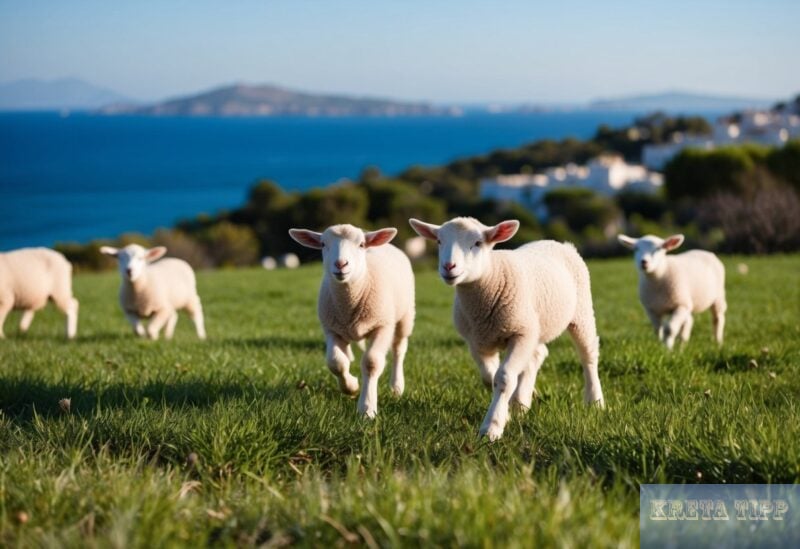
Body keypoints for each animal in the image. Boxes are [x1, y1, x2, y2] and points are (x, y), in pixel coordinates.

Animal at [289, 224, 415, 418]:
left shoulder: (383, 326)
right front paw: (352, 387)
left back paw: (397, 386)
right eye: (323, 244)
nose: (340, 264)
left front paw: (367, 408)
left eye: (361, 244)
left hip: (405, 316)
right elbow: (336, 363)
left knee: (398, 349)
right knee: (347, 354)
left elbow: (371, 362)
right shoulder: (332, 329)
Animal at [409, 217, 604, 441]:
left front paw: (492, 427)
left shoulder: (520, 334)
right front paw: (507, 412)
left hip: (581, 312)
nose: (449, 266)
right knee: (538, 354)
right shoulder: (476, 341)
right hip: (534, 326)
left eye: (477, 243)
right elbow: (490, 378)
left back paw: (595, 401)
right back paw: (521, 401)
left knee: (588, 356)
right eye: (439, 241)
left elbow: (503, 378)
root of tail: (561, 243)